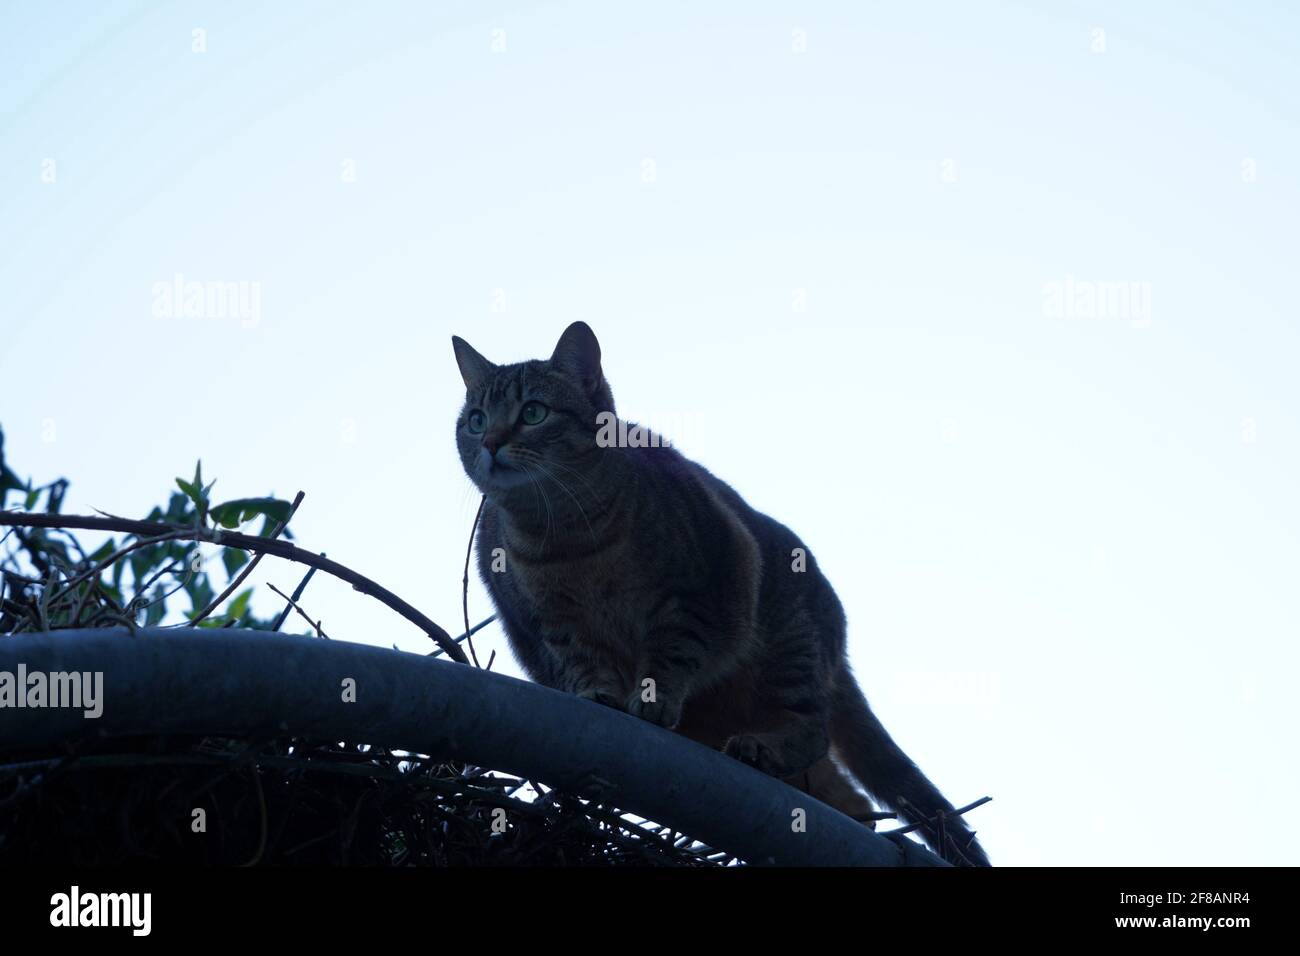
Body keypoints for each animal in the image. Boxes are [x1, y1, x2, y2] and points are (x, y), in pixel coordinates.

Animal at [452, 321, 987, 868]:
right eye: (475, 420)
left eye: (533, 412)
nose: (489, 441)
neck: (566, 536)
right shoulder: (554, 625)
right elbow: (584, 660)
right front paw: (598, 692)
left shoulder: (698, 593)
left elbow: (671, 655)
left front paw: (654, 697)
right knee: (847, 794)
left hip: (788, 645)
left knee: (813, 733)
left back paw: (766, 749)